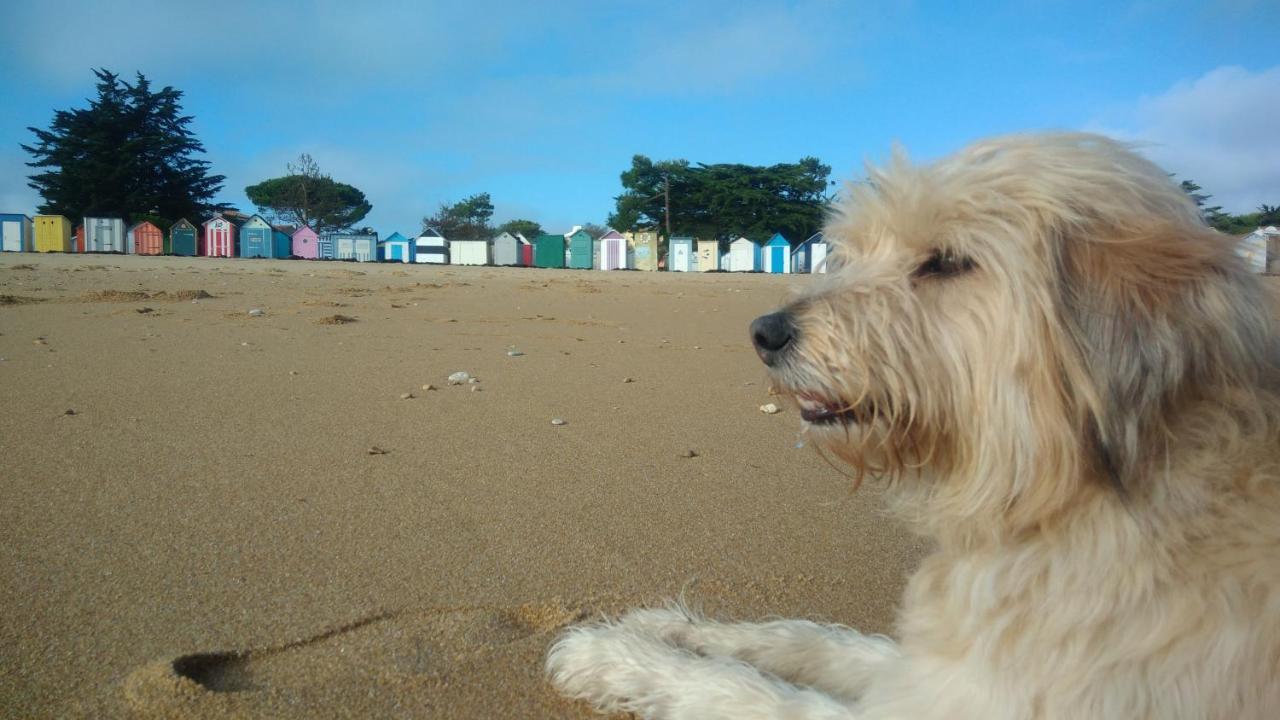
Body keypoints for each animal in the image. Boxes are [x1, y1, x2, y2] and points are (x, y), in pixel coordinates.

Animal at [542, 134, 1280, 717]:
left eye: (948, 261)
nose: (764, 331)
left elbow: (737, 691)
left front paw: (610, 655)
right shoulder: (933, 664)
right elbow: (812, 637)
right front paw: (675, 629)